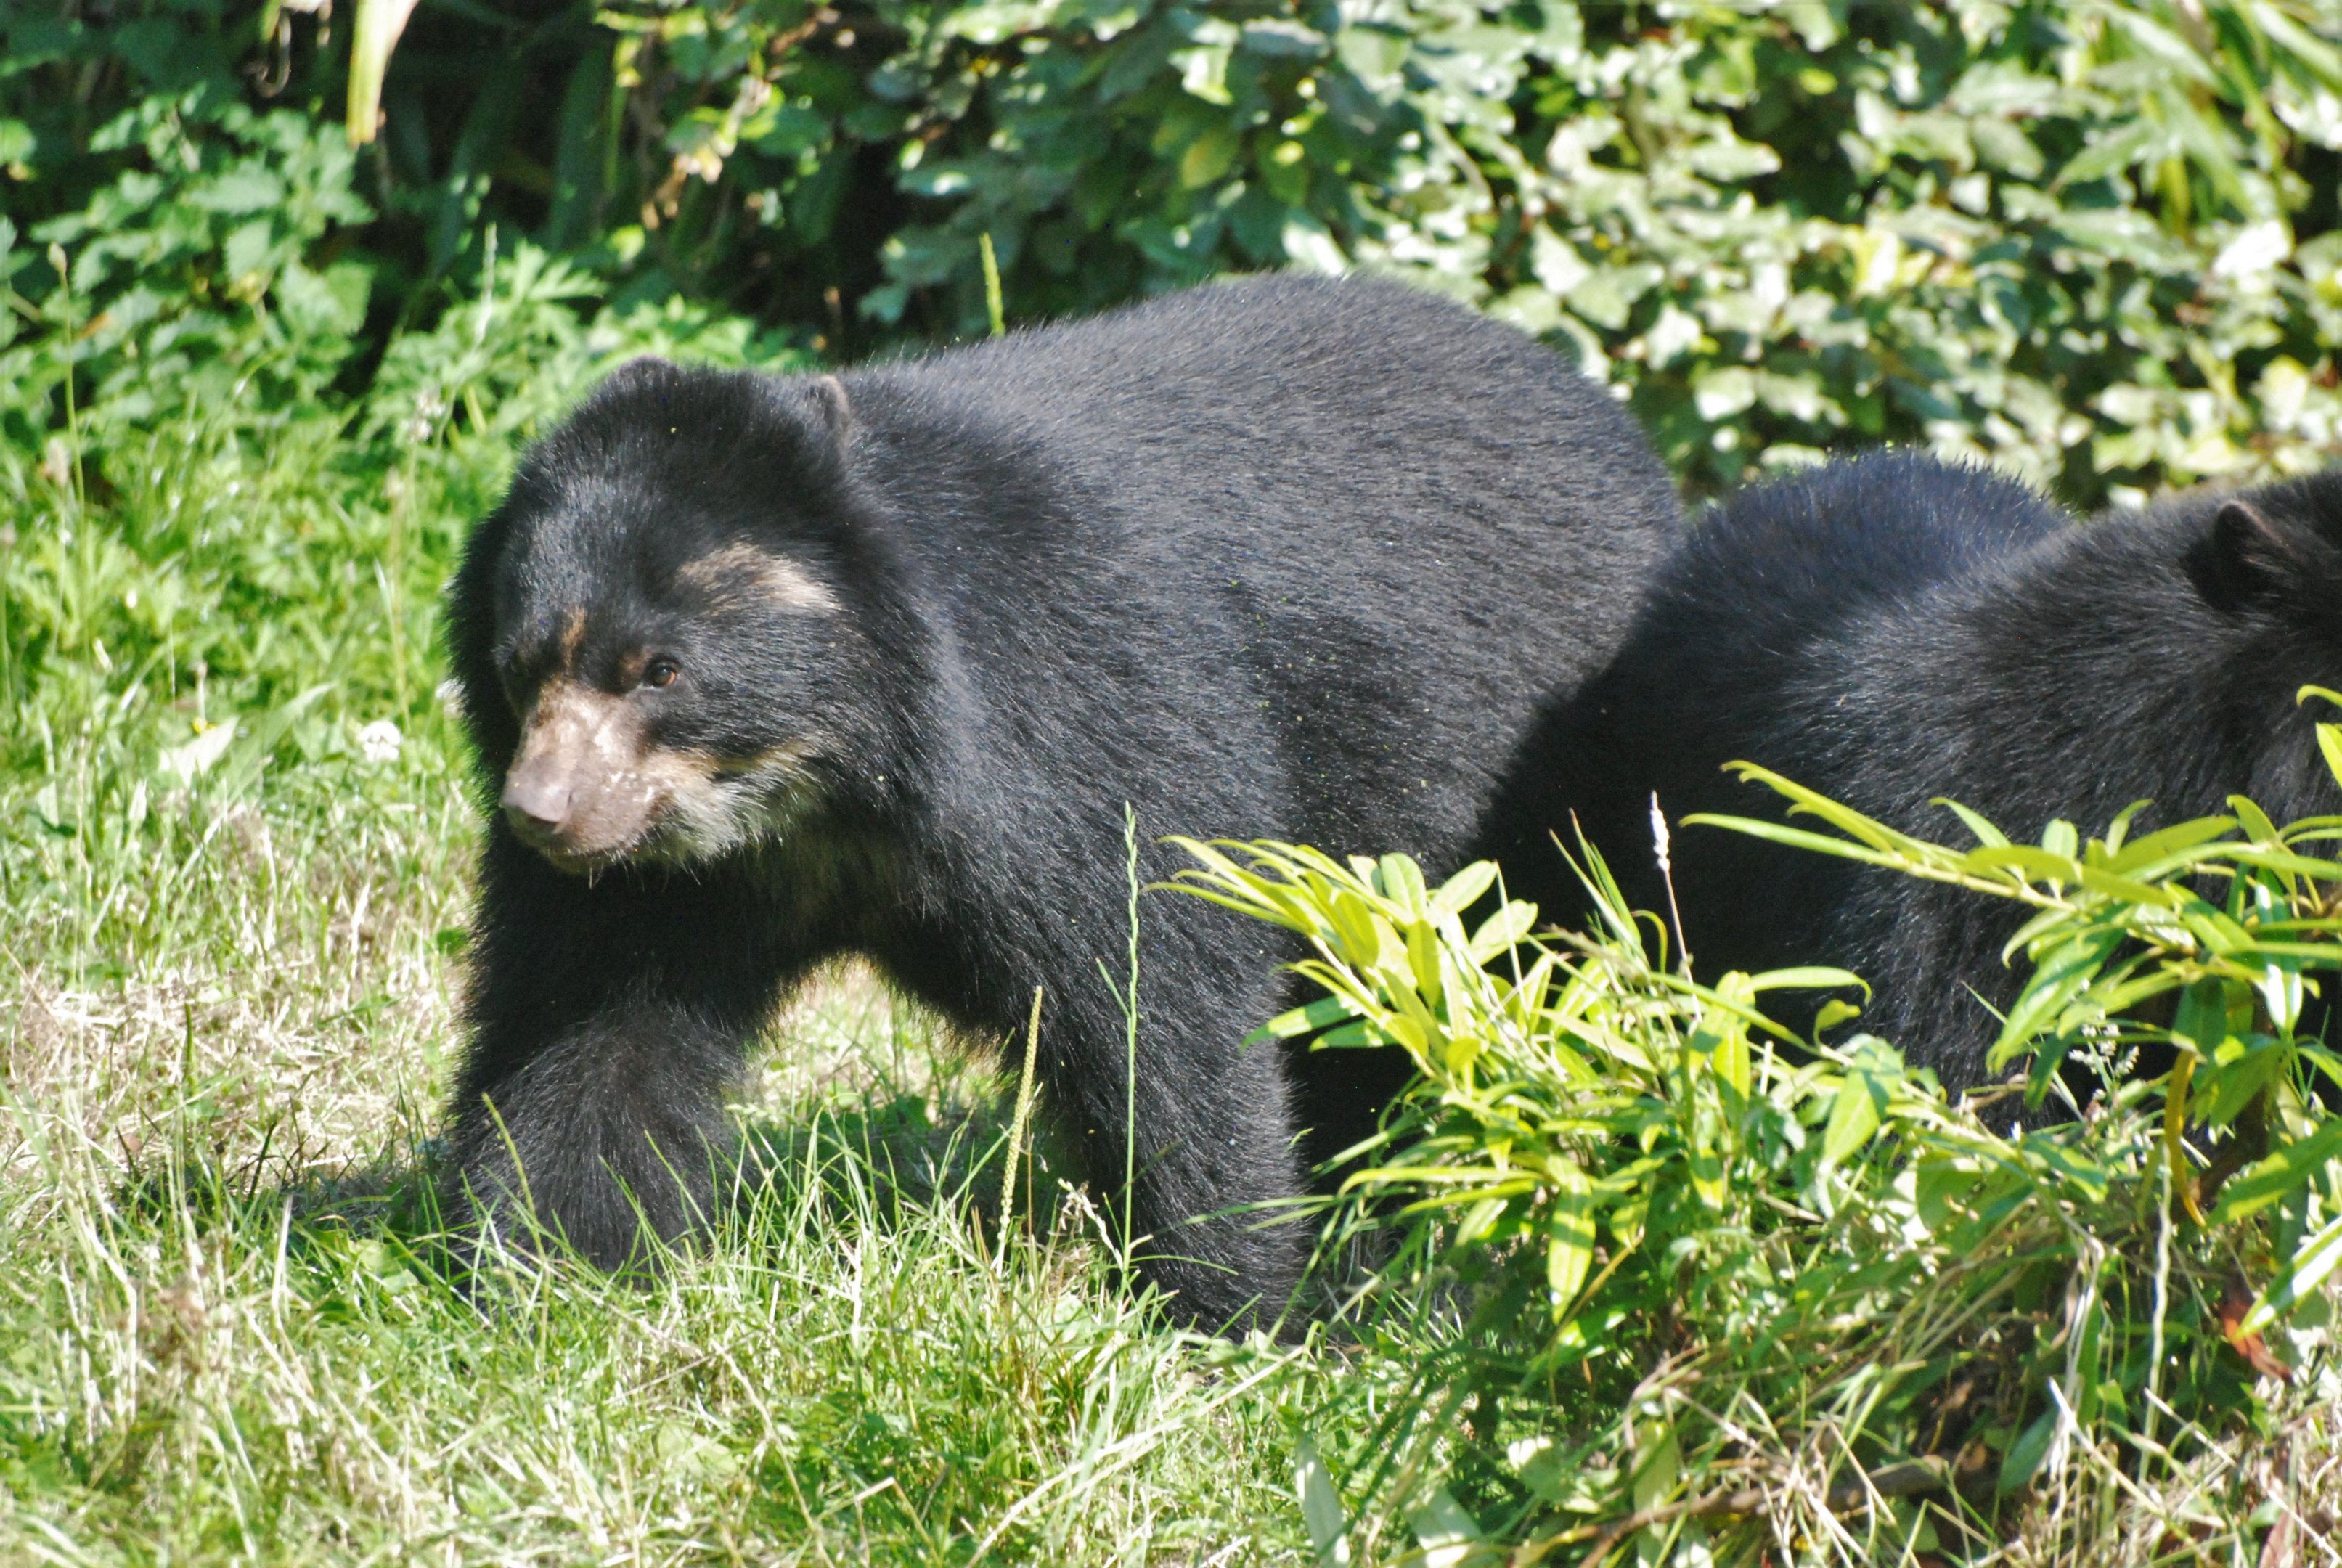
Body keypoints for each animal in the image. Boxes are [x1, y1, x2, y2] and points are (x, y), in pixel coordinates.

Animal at [440, 273, 1683, 1330]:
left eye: (660, 670)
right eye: (520, 664)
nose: (543, 815)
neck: (830, 786)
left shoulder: (1088, 727)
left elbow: (1159, 1004)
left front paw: (1245, 1313)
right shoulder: (669, 877)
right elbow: (588, 1031)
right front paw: (546, 1275)